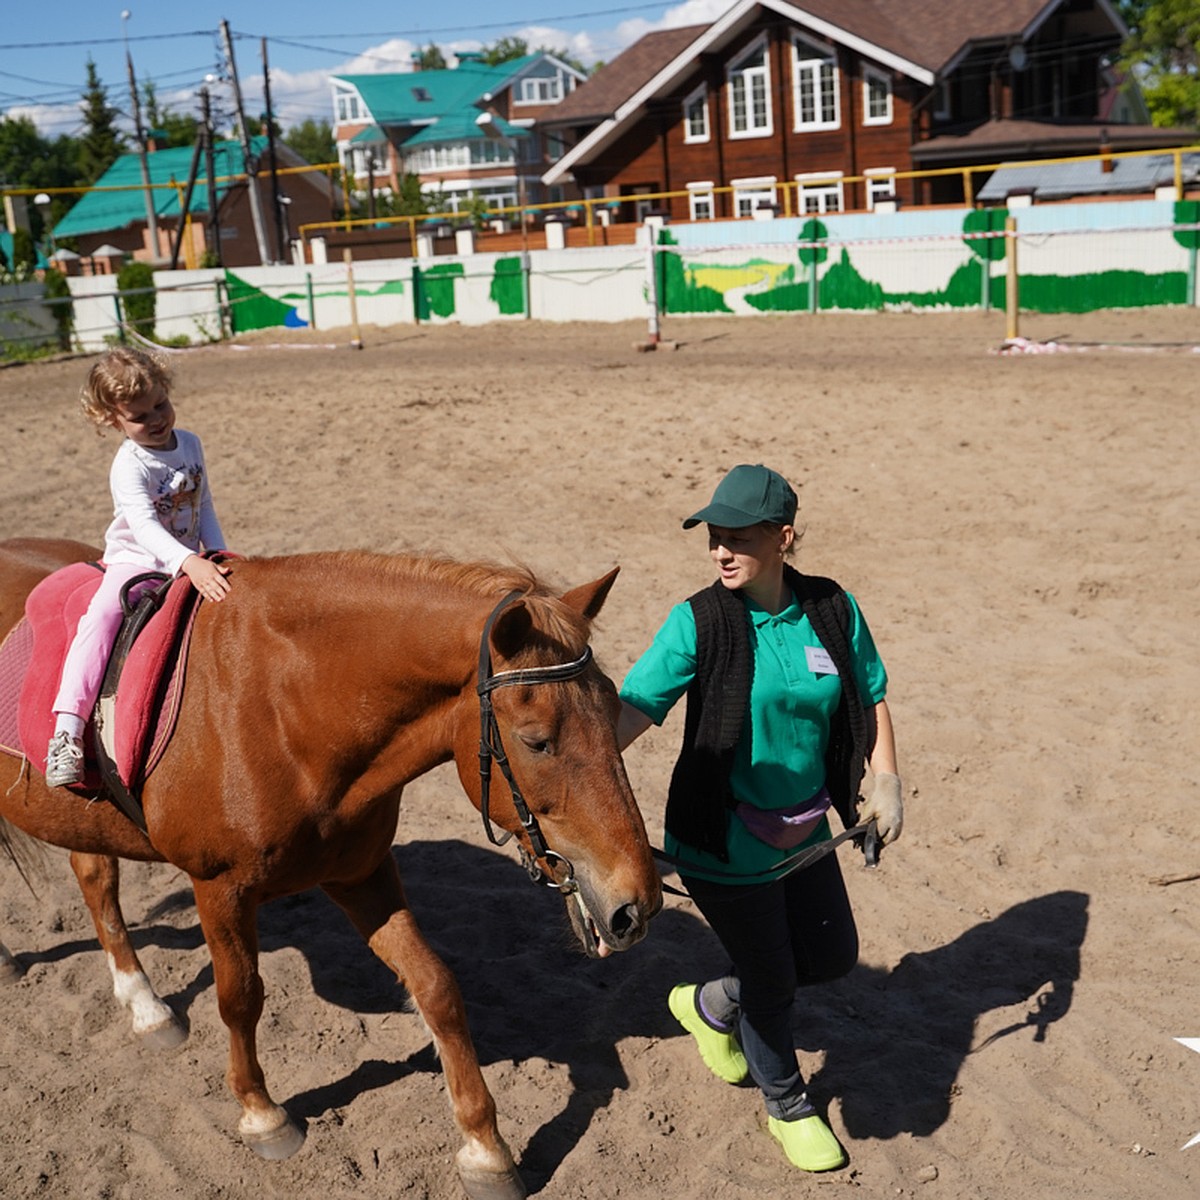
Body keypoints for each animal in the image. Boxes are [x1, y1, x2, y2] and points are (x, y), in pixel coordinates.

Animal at [0, 540, 662, 1195]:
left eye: (616, 715)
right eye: (535, 741)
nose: (638, 904)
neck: (281, 711)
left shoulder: (361, 874)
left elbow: (437, 988)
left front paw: (485, 1150)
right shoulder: (219, 888)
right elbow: (240, 997)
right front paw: (262, 1115)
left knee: (95, 880)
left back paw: (144, 1006)